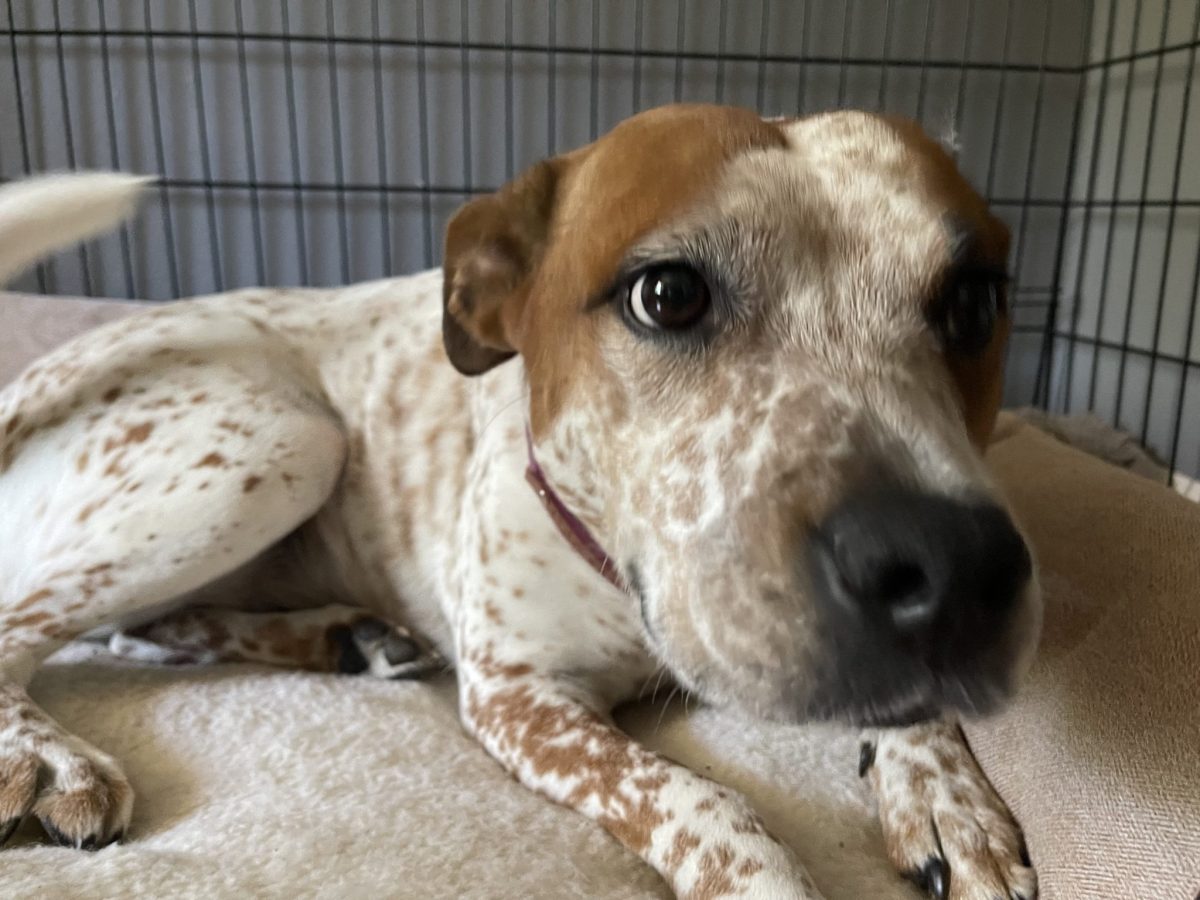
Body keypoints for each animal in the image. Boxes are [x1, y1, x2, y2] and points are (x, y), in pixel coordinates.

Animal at [0, 107, 1036, 900]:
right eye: (667, 293)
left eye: (974, 303)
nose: (956, 573)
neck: (617, 581)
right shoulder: (520, 698)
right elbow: (701, 798)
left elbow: (915, 724)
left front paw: (948, 792)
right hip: (280, 443)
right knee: (30, 626)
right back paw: (57, 757)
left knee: (141, 629)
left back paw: (345, 636)